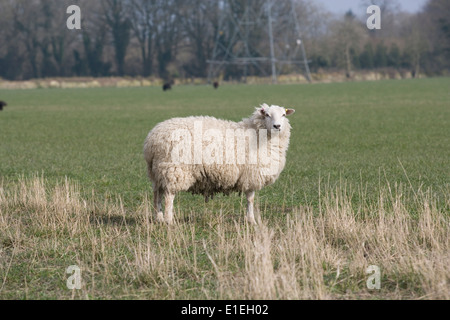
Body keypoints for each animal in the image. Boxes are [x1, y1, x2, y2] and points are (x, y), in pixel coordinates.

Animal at [142, 104, 294, 224]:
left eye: (283, 114)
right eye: (267, 115)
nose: (277, 126)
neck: (258, 134)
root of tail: (153, 140)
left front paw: (250, 220)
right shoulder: (251, 175)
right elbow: (250, 199)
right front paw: (251, 220)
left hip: (157, 171)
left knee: (157, 195)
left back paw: (159, 218)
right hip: (174, 170)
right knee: (169, 196)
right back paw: (169, 221)